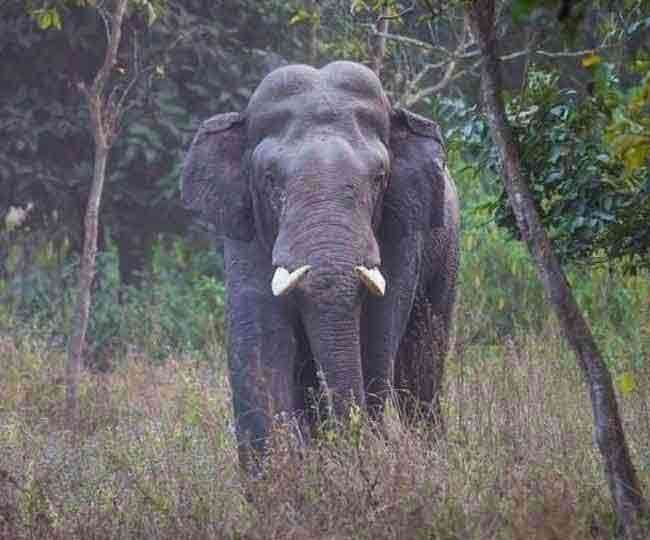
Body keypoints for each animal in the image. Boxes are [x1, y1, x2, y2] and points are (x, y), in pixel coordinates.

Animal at [181, 61, 459, 469]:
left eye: (379, 178)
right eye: (269, 179)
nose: (357, 442)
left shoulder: (404, 228)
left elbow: (377, 330)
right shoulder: (245, 228)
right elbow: (260, 335)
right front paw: (283, 476)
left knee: (422, 357)